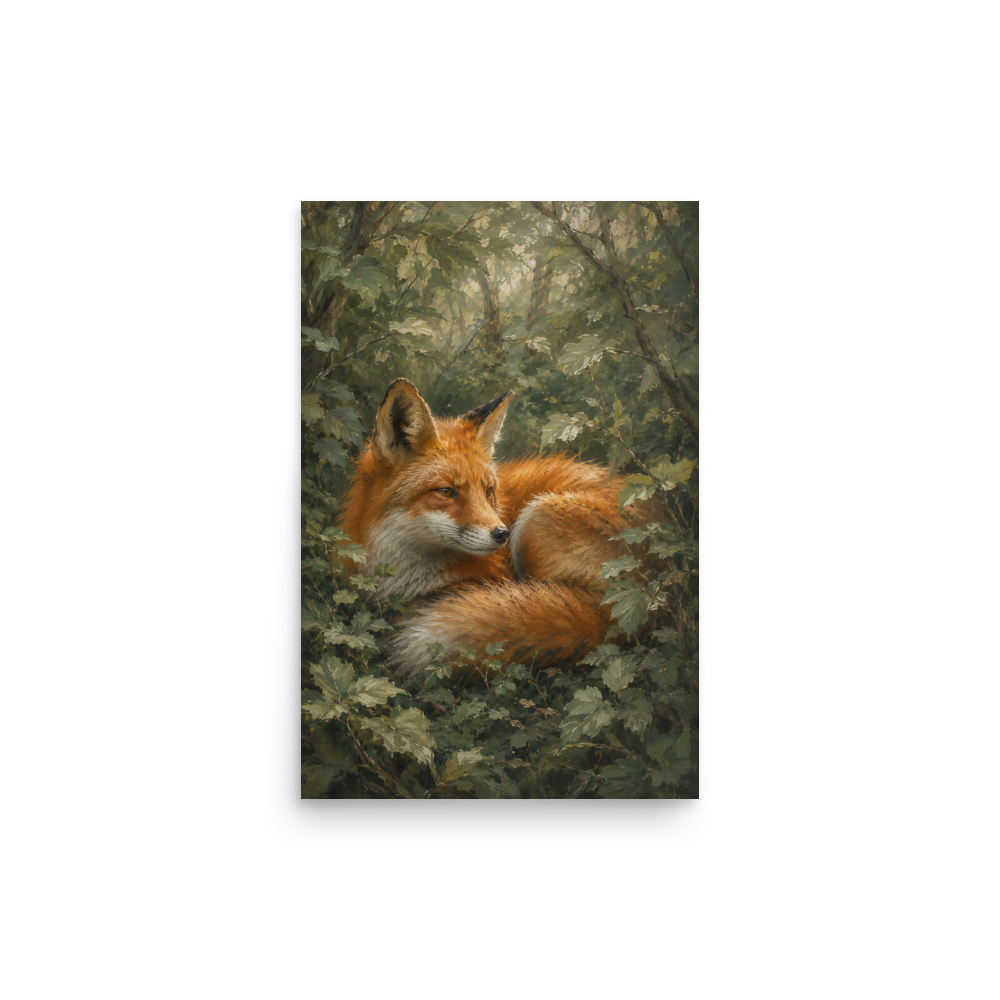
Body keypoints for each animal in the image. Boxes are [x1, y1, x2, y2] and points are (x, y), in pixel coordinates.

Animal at [336, 378, 669, 681]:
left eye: (488, 491)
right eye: (446, 491)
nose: (501, 534)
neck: (404, 572)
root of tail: (638, 604)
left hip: (535, 523)